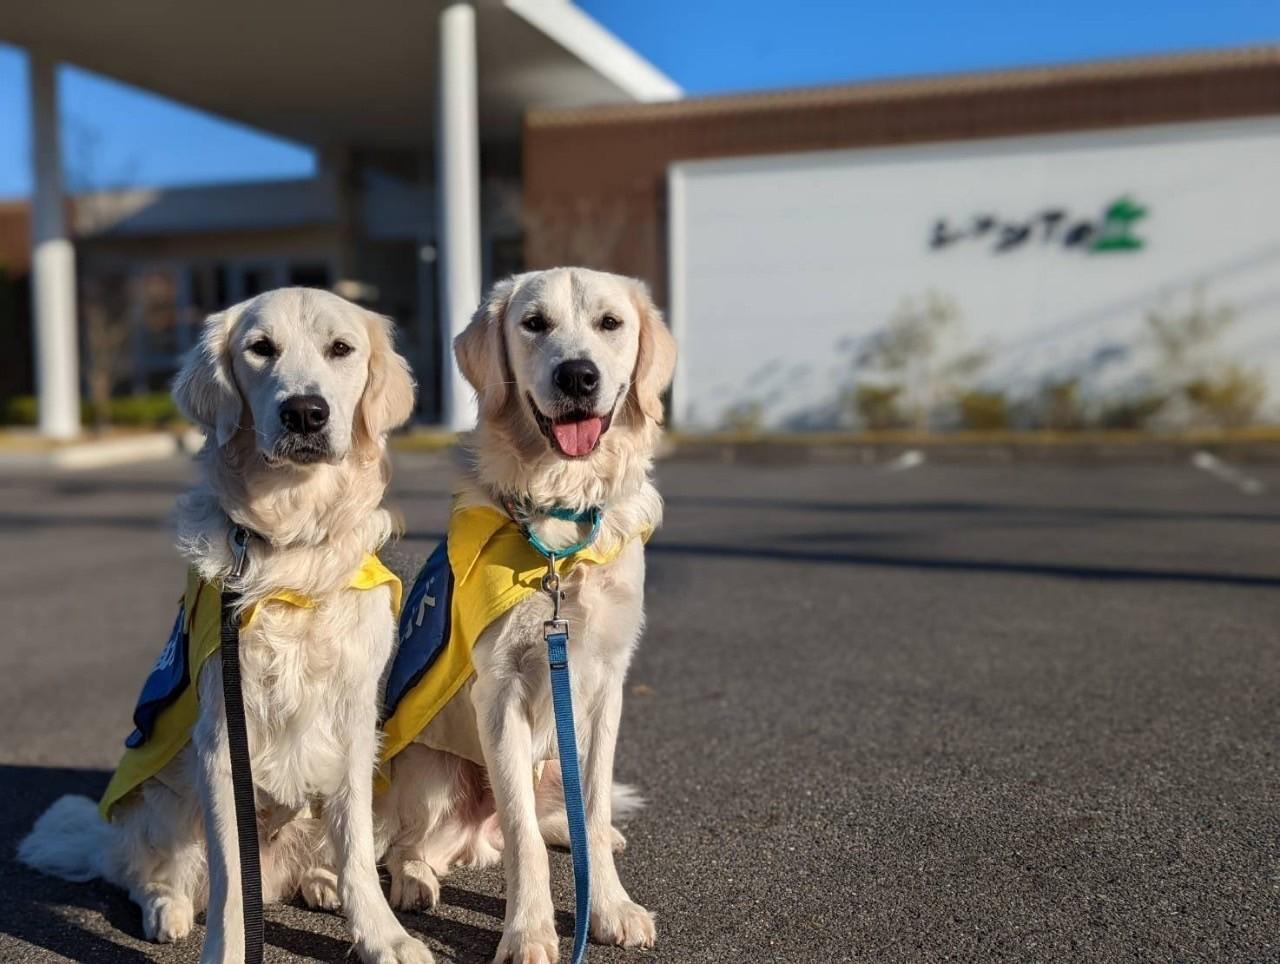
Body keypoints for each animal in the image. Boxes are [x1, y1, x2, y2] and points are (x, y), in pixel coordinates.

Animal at [20, 285, 432, 962]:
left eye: (340, 349)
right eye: (260, 348)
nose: (305, 413)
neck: (291, 548)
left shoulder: (353, 724)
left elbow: (355, 856)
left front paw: (382, 936)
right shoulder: (221, 735)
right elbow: (233, 877)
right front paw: (228, 948)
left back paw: (319, 883)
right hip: (161, 802)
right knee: (145, 874)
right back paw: (167, 910)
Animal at [366, 265, 675, 962]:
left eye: (611, 323)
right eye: (534, 324)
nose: (578, 376)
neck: (561, 521)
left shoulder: (604, 685)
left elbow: (591, 809)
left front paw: (609, 906)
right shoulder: (500, 689)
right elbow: (522, 838)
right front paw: (529, 931)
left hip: (550, 754)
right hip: (432, 772)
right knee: (409, 843)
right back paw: (415, 882)